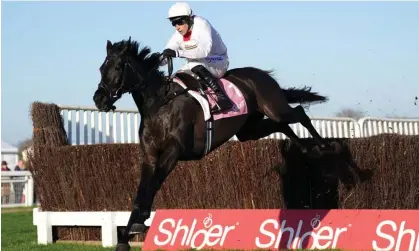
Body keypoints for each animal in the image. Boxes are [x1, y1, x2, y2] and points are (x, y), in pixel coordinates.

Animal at [92, 37, 342, 251]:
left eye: (117, 67)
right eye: (102, 68)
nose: (99, 99)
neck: (160, 103)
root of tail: (261, 74)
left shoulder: (173, 152)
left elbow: (152, 186)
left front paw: (139, 222)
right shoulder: (150, 157)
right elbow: (140, 195)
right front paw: (125, 237)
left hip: (274, 107)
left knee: (299, 113)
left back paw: (325, 147)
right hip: (249, 129)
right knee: (282, 126)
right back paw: (306, 148)